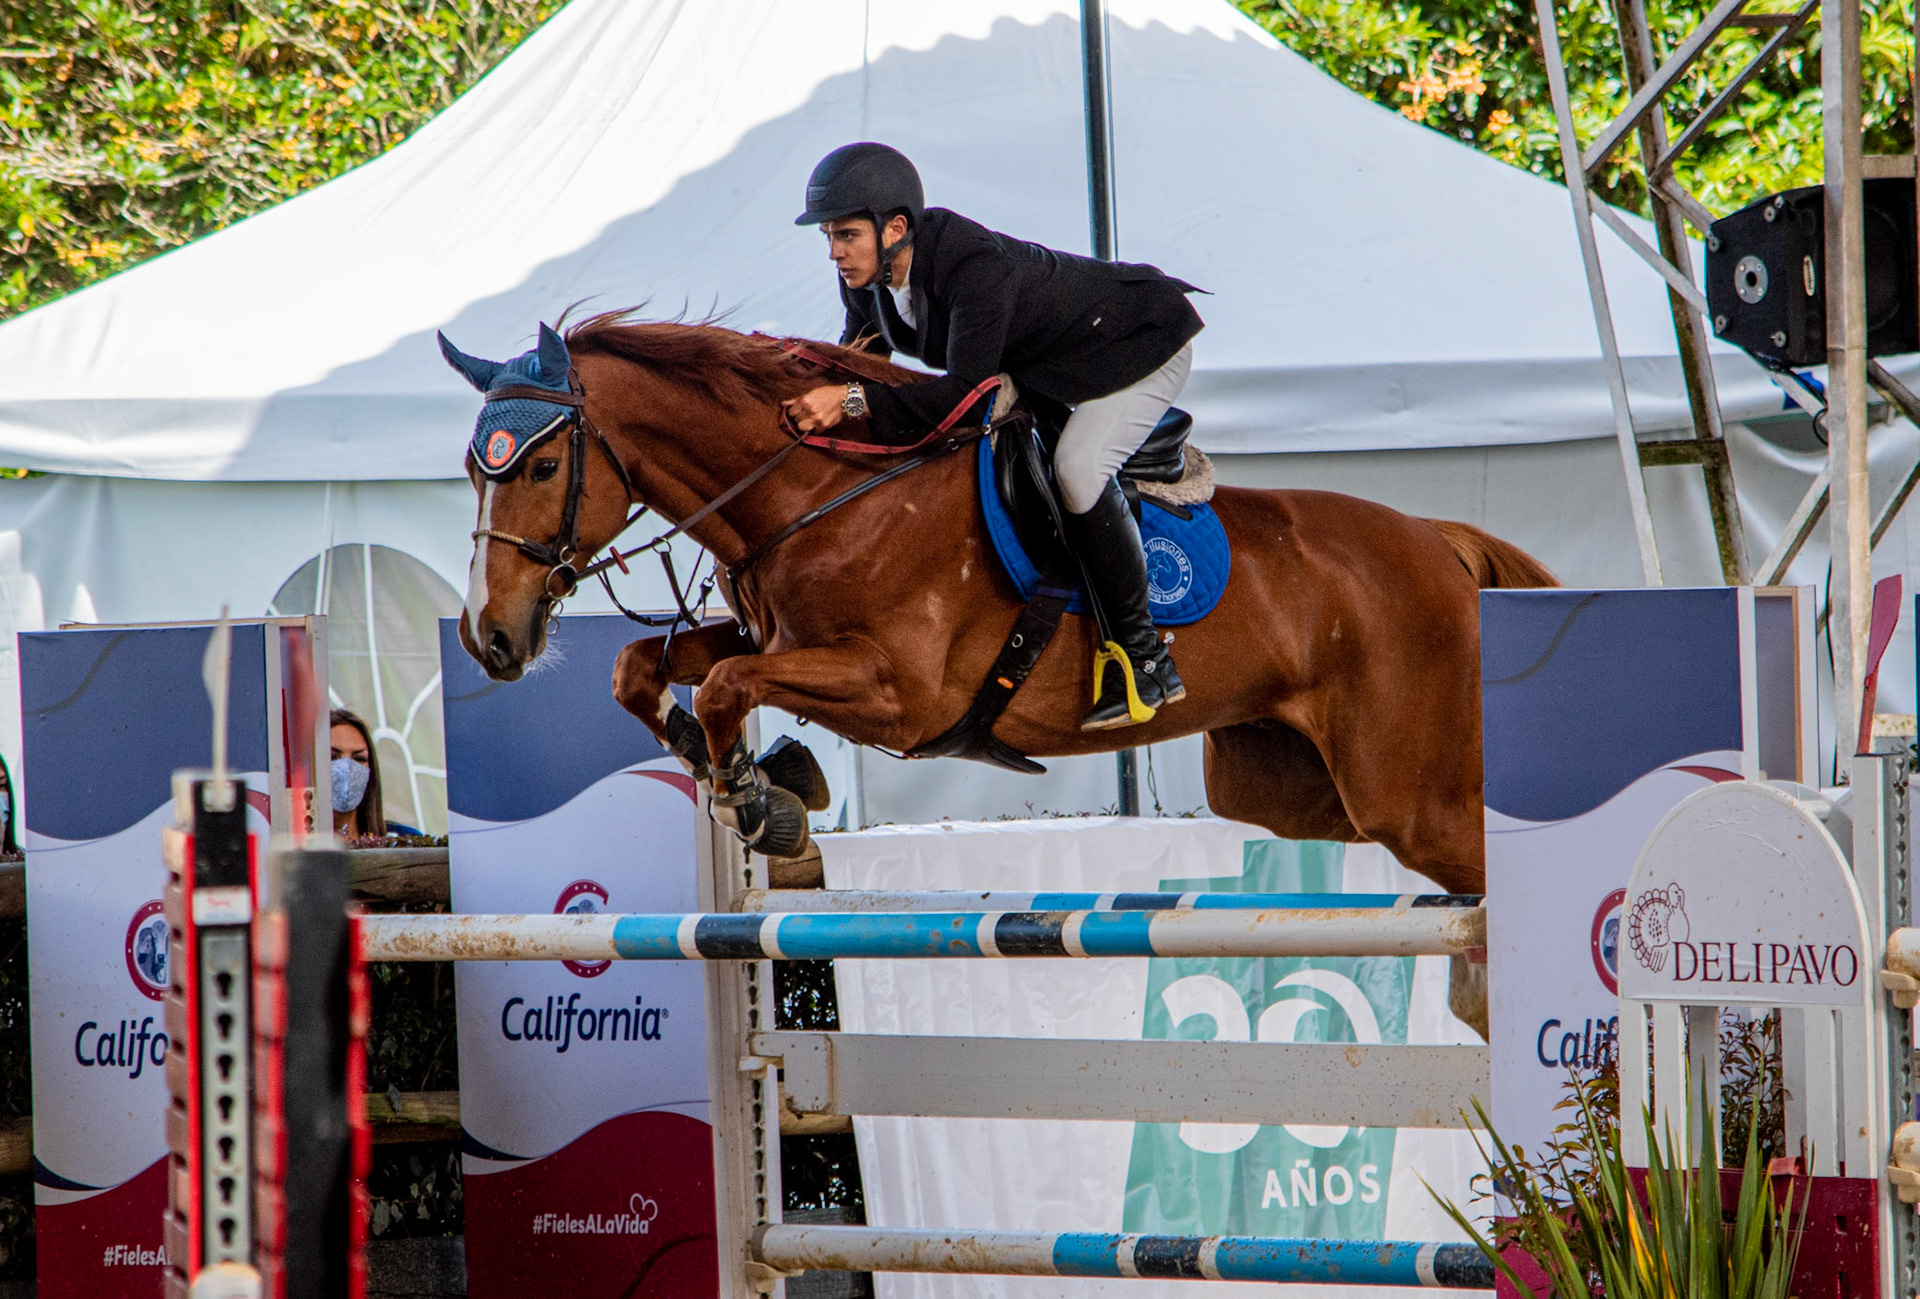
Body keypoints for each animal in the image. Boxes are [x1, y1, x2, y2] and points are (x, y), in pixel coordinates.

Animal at [443, 314, 1557, 904]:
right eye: (471, 467)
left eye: (539, 465)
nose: (490, 638)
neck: (817, 489)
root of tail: (1436, 541)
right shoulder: (781, 638)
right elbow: (652, 670)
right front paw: (765, 780)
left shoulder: (900, 694)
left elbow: (724, 684)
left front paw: (764, 802)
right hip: (1289, 786)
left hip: (1408, 792)